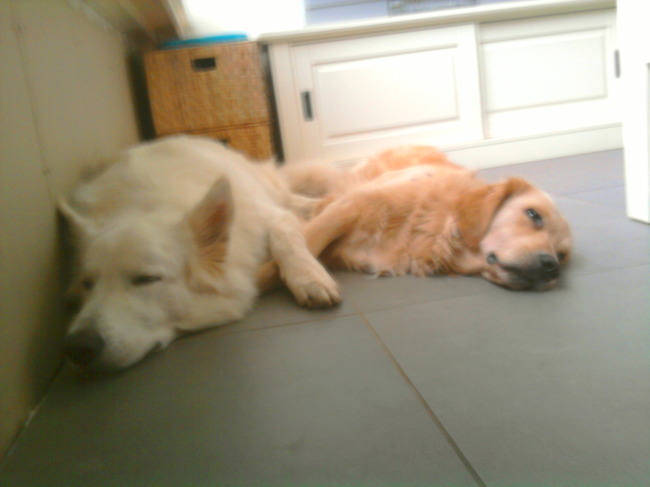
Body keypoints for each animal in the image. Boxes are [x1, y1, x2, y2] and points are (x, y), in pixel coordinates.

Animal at [60, 135, 339, 374]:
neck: (145, 207)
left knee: (291, 199)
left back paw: (318, 203)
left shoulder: (271, 217)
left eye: (147, 279)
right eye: (87, 284)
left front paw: (309, 278)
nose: (77, 347)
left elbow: (286, 238)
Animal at [276, 146, 572, 291]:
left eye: (562, 255)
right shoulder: (350, 205)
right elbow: (306, 240)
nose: (551, 267)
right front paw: (307, 278)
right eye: (533, 214)